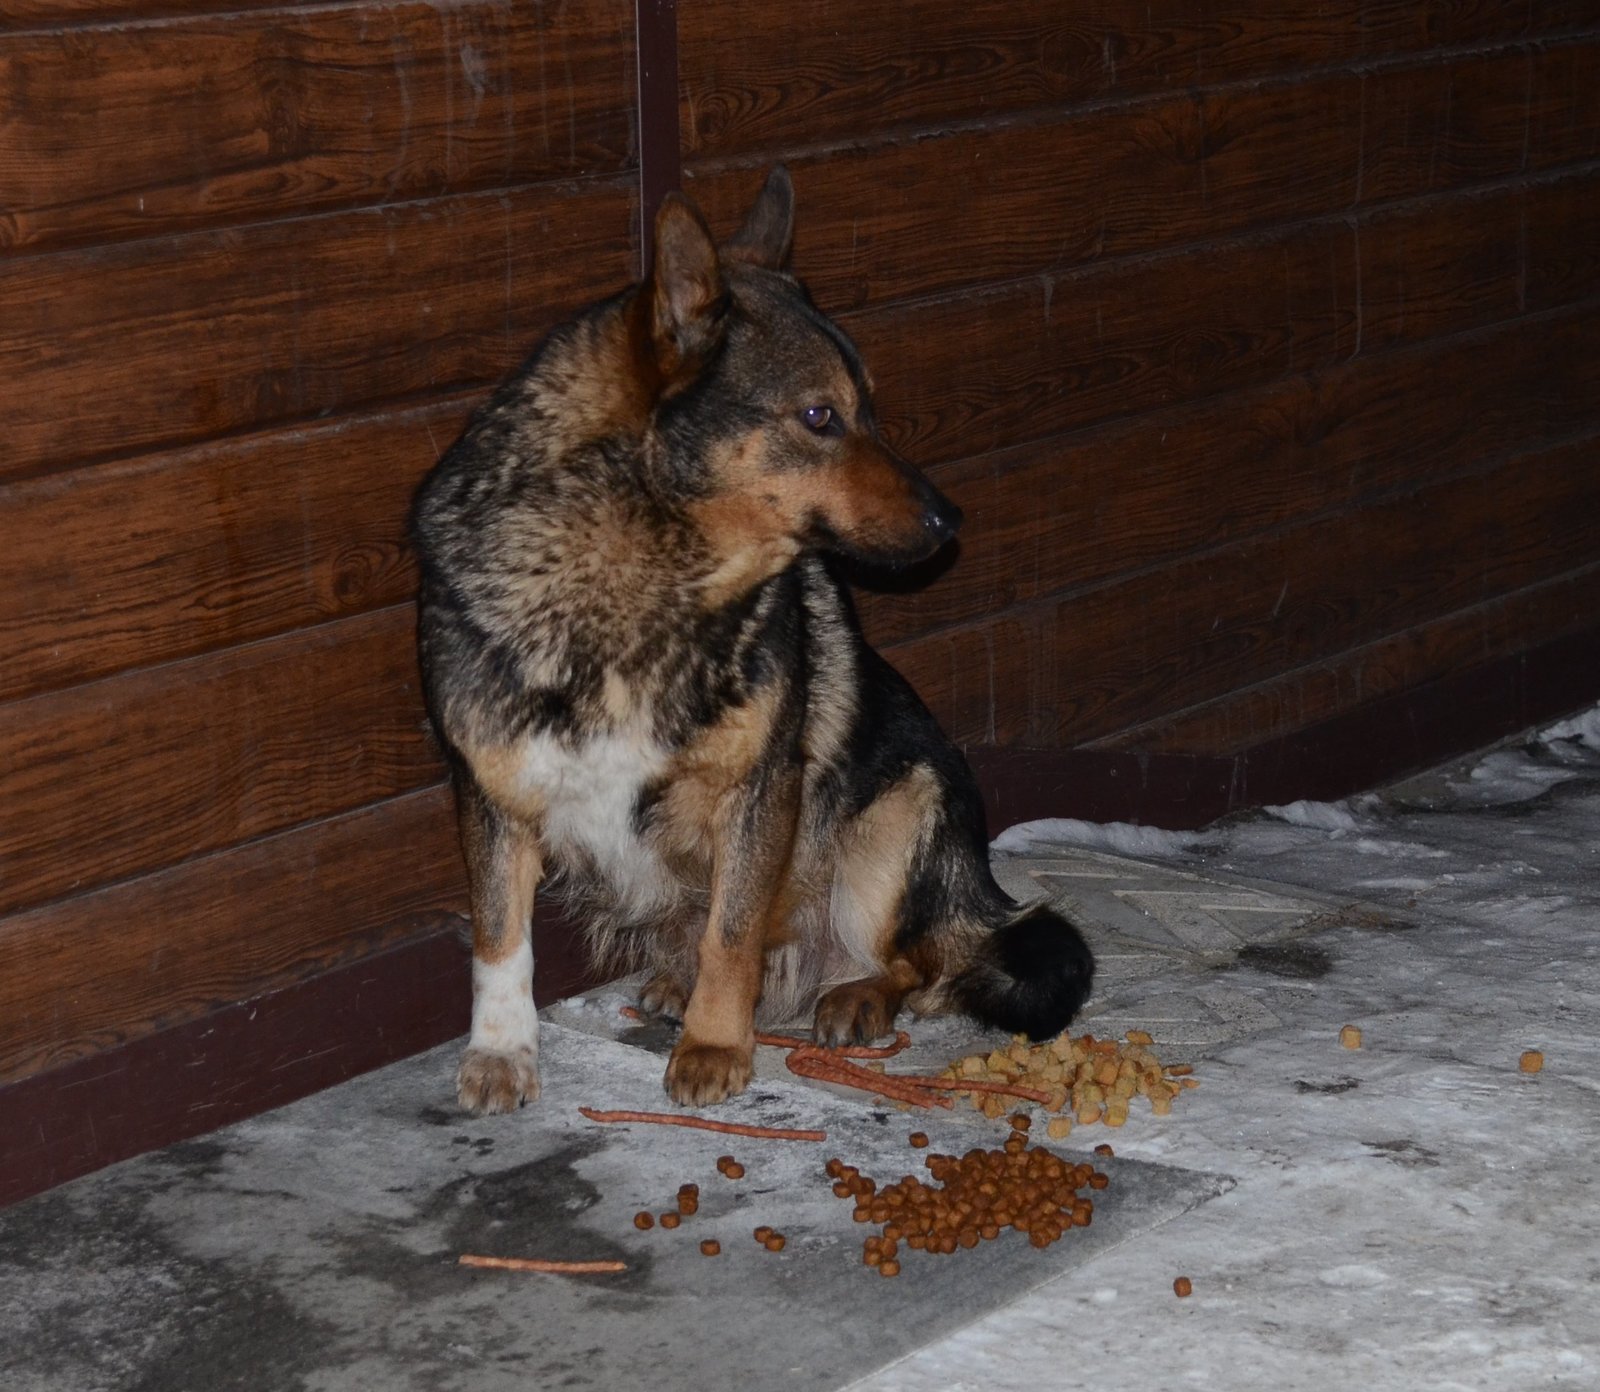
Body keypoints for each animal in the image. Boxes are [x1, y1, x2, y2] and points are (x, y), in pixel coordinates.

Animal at [406, 163, 1094, 1120]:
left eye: (864, 410)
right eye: (819, 415)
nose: (950, 521)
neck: (640, 582)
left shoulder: (764, 791)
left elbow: (732, 934)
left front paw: (713, 1044)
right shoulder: (493, 791)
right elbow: (501, 940)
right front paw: (503, 1050)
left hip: (898, 814)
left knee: (922, 966)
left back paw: (853, 994)